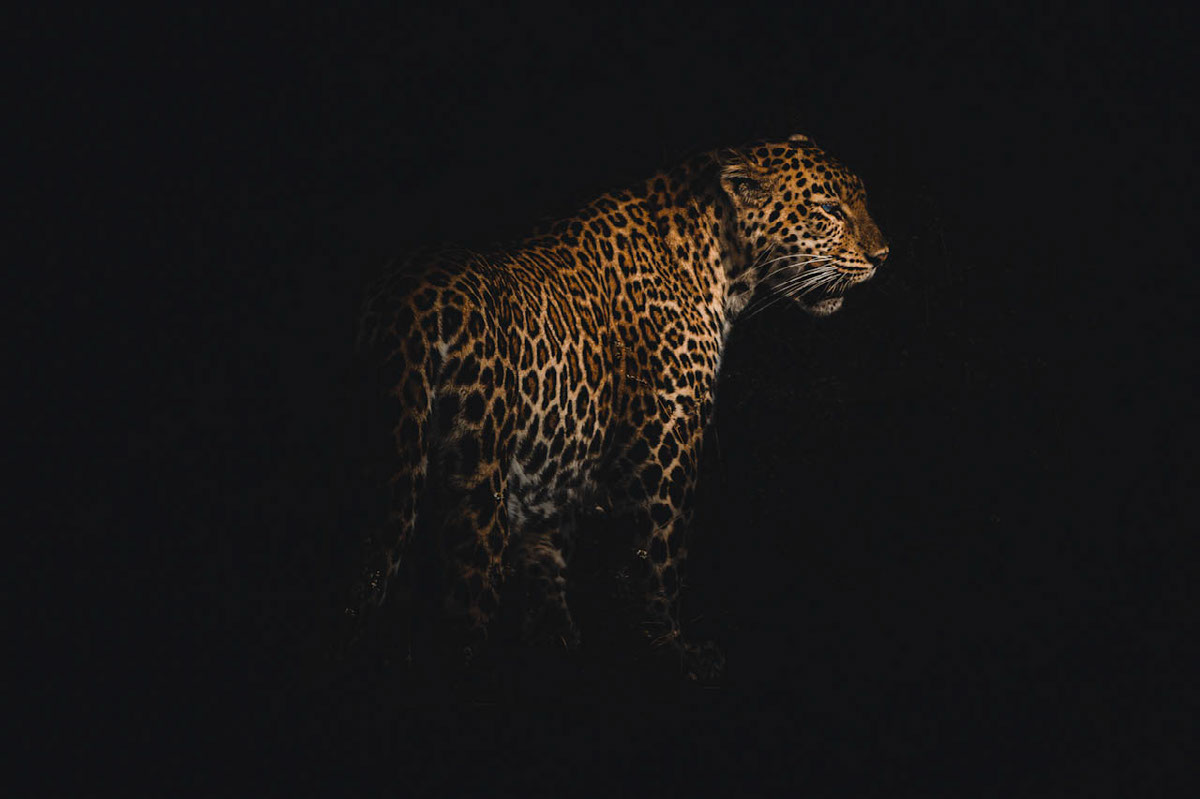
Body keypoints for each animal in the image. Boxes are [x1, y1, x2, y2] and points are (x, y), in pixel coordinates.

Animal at [350, 133, 888, 681]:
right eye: (829, 209)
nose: (883, 256)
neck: (723, 264)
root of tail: (407, 302)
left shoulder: (555, 472)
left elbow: (548, 568)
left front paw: (559, 643)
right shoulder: (665, 452)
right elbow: (658, 560)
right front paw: (673, 652)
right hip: (475, 481)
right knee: (461, 616)